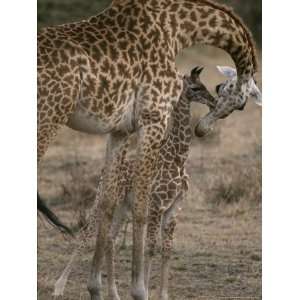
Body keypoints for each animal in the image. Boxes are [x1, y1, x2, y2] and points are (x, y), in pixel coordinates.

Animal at [38, 1, 260, 298]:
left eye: (217, 87)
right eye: (242, 105)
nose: (203, 129)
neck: (177, 31)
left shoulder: (120, 131)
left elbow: (109, 206)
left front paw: (97, 288)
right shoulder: (152, 121)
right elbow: (143, 212)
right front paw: (139, 290)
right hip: (48, 118)